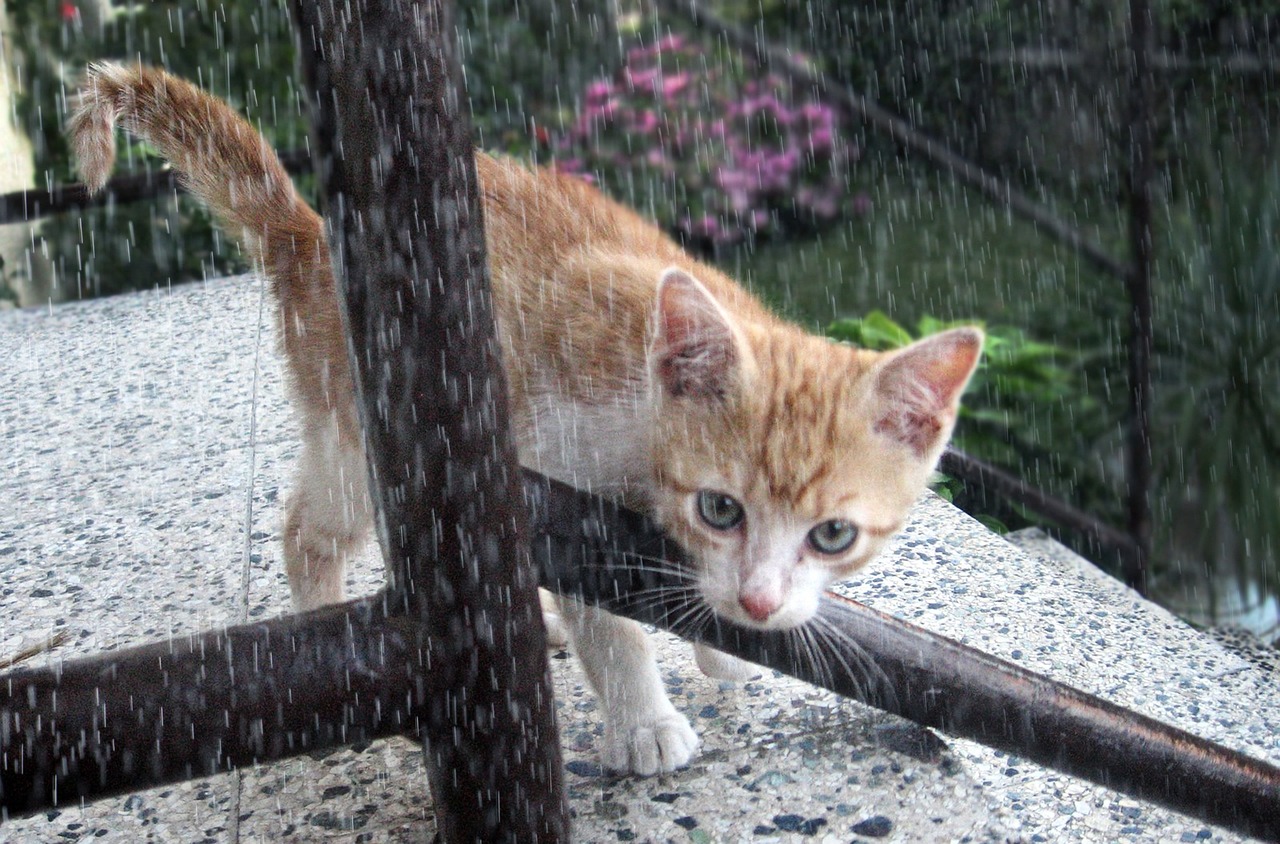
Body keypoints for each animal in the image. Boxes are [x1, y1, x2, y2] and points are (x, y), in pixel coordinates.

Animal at [70, 64, 983, 778]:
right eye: (720, 508)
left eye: (834, 536)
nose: (759, 604)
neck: (642, 395)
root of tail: (307, 232)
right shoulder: (567, 469)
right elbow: (608, 620)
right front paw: (644, 721)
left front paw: (724, 640)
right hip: (360, 431)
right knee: (309, 530)